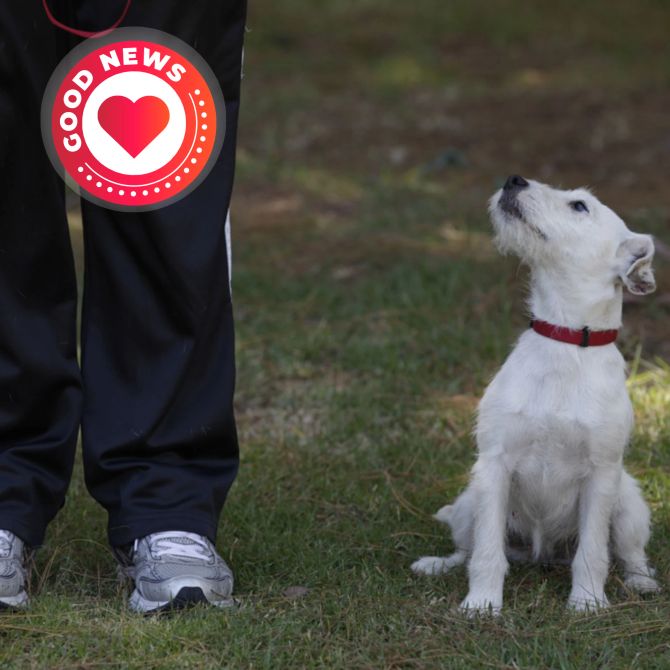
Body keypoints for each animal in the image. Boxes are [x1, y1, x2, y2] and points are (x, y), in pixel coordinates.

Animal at [414, 177, 660, 616]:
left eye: (579, 206)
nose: (514, 180)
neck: (563, 339)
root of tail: (543, 556)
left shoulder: (601, 474)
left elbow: (593, 551)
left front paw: (587, 602)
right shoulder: (494, 464)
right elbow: (487, 551)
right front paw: (481, 604)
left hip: (629, 505)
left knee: (630, 554)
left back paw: (641, 583)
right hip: (469, 502)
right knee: (466, 549)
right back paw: (437, 565)